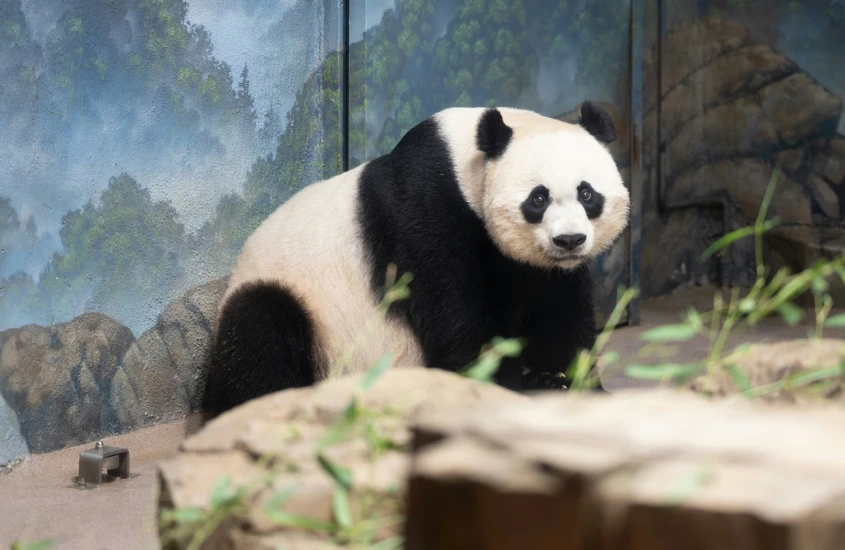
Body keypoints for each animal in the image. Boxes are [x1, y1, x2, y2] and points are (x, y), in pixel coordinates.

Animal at [201, 102, 628, 418]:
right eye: (538, 198)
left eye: (587, 194)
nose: (569, 240)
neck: (466, 162)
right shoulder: (426, 210)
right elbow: (455, 315)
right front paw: (500, 387)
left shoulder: (539, 267)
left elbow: (557, 308)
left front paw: (560, 379)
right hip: (297, 303)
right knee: (258, 332)